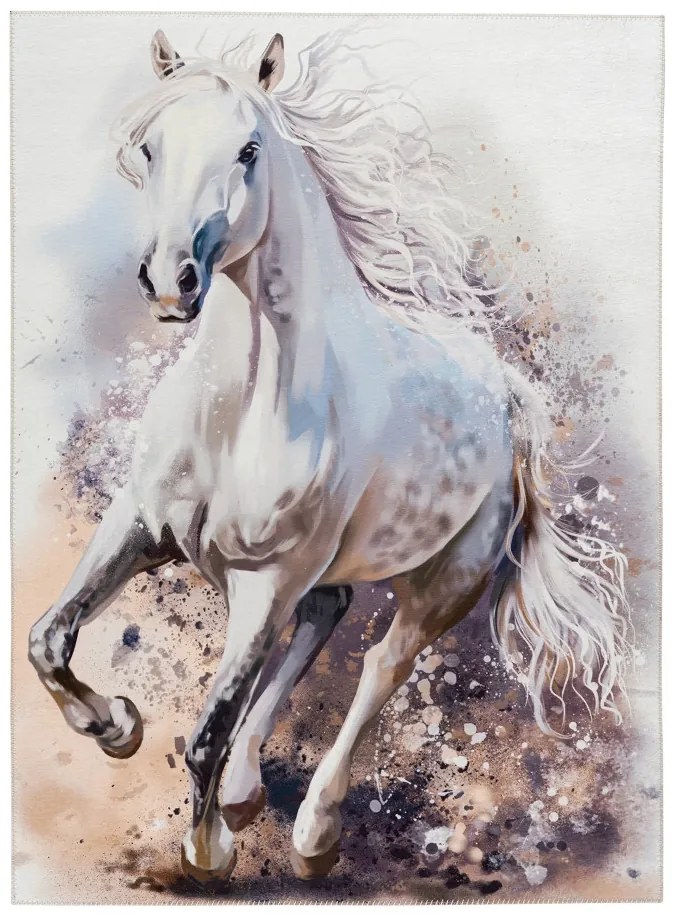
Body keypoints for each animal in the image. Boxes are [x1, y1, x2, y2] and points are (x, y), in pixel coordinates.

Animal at [28, 28, 630, 884]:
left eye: (248, 149)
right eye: (150, 147)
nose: (172, 281)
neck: (236, 413)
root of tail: (506, 394)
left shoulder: (265, 580)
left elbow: (207, 730)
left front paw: (208, 850)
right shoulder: (140, 524)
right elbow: (48, 640)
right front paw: (116, 725)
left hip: (448, 580)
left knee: (380, 664)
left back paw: (312, 830)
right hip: (326, 571)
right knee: (327, 614)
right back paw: (248, 789)